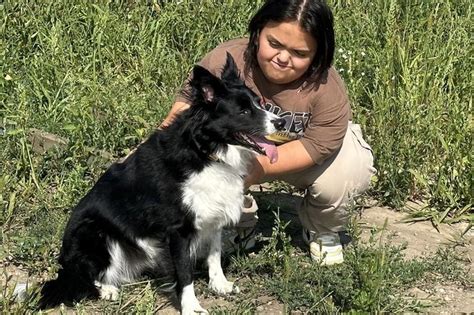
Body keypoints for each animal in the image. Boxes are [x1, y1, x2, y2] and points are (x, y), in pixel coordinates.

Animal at [39, 53, 284, 314]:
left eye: (259, 103)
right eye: (244, 111)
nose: (281, 123)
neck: (204, 150)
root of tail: (64, 259)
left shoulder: (213, 214)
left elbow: (214, 253)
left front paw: (219, 285)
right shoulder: (177, 230)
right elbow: (184, 273)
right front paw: (191, 307)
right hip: (94, 232)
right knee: (81, 276)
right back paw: (106, 289)